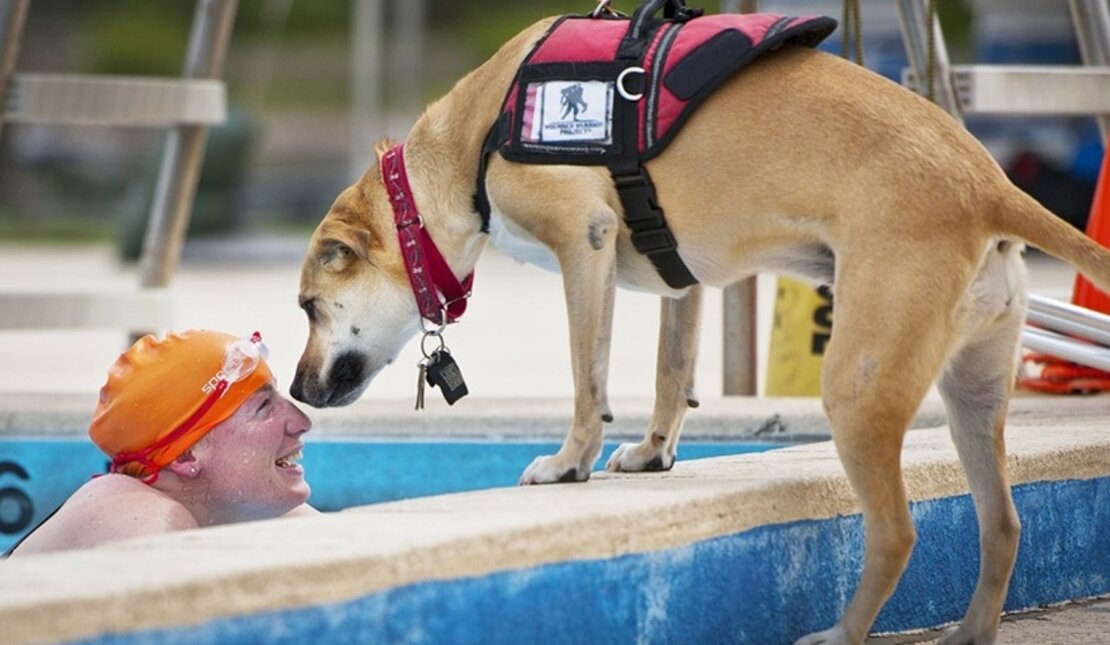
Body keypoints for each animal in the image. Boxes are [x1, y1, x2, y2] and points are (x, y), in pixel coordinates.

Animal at [293, 13, 1110, 643]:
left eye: (305, 306)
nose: (297, 389)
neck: (472, 140)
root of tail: (990, 183)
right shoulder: (677, 277)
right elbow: (670, 369)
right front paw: (654, 452)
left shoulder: (584, 242)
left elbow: (588, 379)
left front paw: (569, 462)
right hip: (975, 390)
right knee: (1002, 525)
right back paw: (971, 629)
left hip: (859, 388)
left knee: (896, 532)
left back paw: (843, 631)